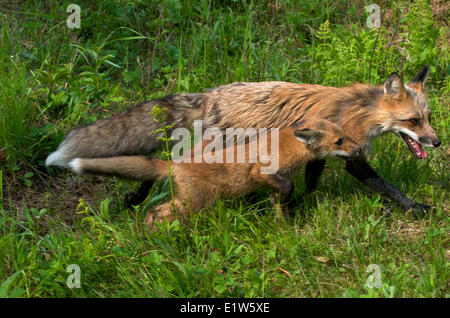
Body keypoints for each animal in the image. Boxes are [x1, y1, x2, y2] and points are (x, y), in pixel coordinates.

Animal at [67, 118, 362, 226]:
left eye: (346, 136)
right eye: (339, 142)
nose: (359, 150)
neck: (288, 147)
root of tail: (176, 164)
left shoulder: (276, 180)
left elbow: (281, 195)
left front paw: (280, 216)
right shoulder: (259, 172)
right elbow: (286, 187)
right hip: (194, 203)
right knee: (156, 211)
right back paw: (154, 233)